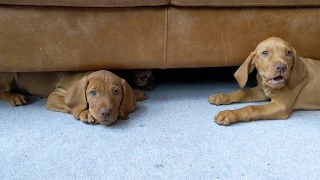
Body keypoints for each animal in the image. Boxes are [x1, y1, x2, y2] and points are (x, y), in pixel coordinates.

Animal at [0, 69, 147, 126]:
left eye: (116, 92)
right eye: (92, 93)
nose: (106, 113)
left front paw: (136, 94)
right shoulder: (55, 95)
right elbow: (70, 105)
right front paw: (86, 113)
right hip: (9, 76)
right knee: (2, 91)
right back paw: (15, 96)